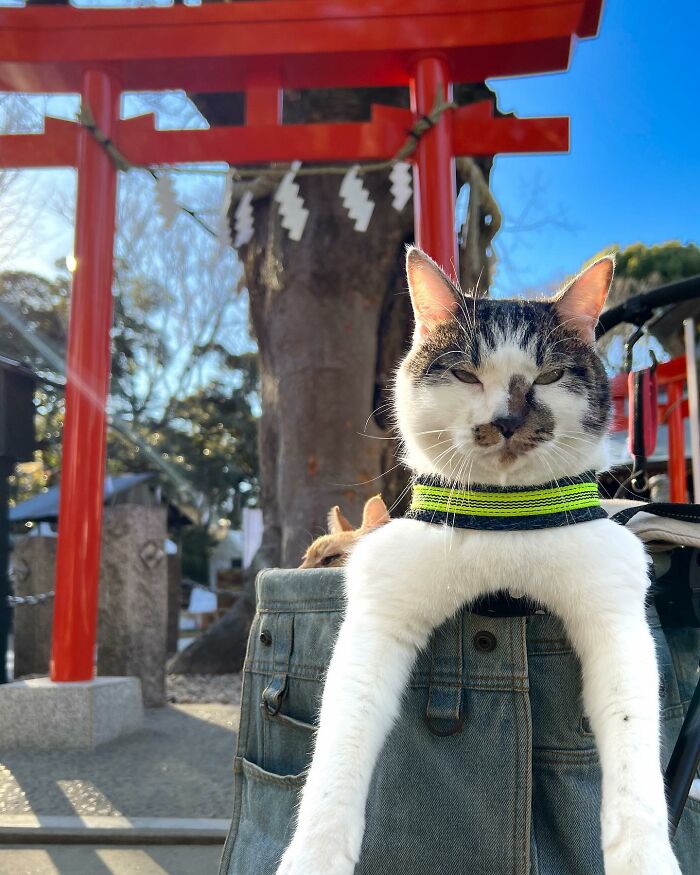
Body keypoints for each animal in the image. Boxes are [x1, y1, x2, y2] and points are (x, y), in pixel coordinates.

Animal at [276, 246, 680, 875]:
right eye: (466, 373)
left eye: (550, 375)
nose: (508, 421)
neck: (505, 516)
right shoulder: (380, 609)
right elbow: (340, 737)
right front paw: (314, 855)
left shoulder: (615, 610)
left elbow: (633, 740)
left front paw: (645, 857)